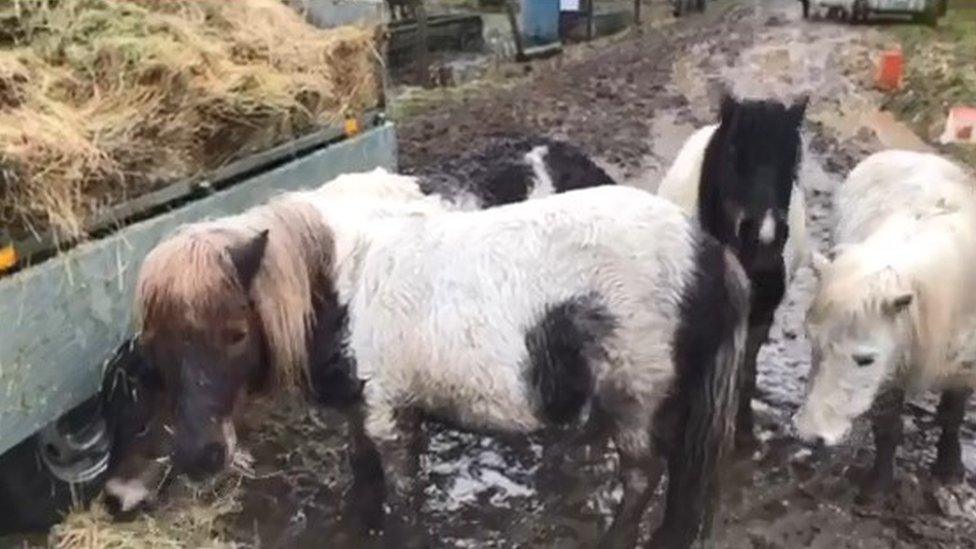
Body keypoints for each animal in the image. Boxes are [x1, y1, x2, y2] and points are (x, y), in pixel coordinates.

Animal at [656, 92, 808, 448]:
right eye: (734, 151)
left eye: (793, 159)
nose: (765, 239)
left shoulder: (760, 318)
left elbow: (746, 371)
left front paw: (744, 428)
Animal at [792, 149, 976, 496]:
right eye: (813, 345)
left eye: (865, 359)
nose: (810, 434)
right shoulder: (894, 368)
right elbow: (888, 426)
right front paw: (877, 486)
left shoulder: (961, 364)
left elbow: (952, 416)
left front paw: (948, 469)